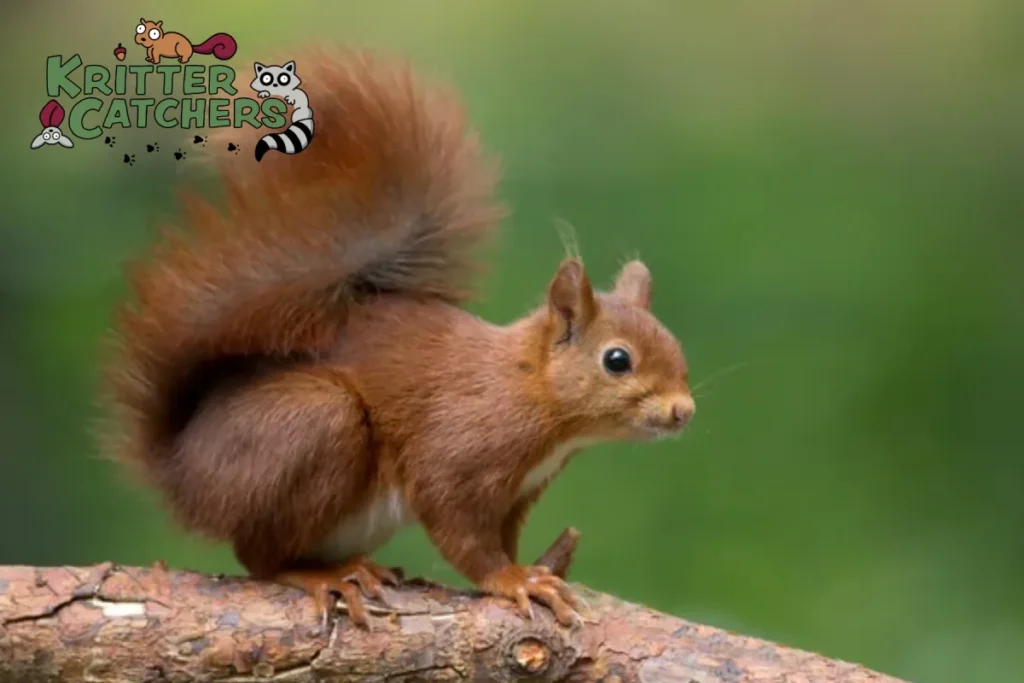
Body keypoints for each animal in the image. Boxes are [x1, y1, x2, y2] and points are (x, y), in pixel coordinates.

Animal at [102, 49, 695, 628]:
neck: (530, 388)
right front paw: (514, 580)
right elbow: (462, 532)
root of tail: (182, 473)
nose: (683, 411)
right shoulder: (457, 456)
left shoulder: (519, 494)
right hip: (314, 422)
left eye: (678, 351)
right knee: (259, 556)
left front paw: (529, 569)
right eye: (617, 360)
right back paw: (326, 575)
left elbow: (502, 537)